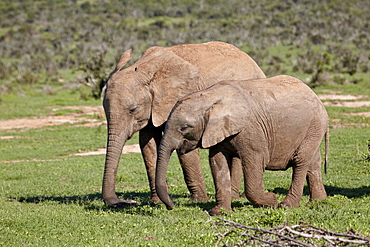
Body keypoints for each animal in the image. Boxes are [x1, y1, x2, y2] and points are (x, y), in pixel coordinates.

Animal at [101, 41, 266, 206]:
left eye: (133, 109)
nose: (124, 202)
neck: (145, 68)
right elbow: (148, 143)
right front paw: (156, 202)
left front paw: (198, 201)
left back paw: (235, 197)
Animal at [155, 75, 328, 216]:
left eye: (184, 128)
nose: (171, 206)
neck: (209, 97)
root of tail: (317, 97)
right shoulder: (217, 131)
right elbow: (217, 163)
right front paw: (219, 213)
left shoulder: (251, 129)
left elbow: (256, 160)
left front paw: (271, 201)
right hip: (313, 130)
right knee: (312, 162)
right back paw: (318, 202)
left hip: (314, 124)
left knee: (300, 161)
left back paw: (286, 206)